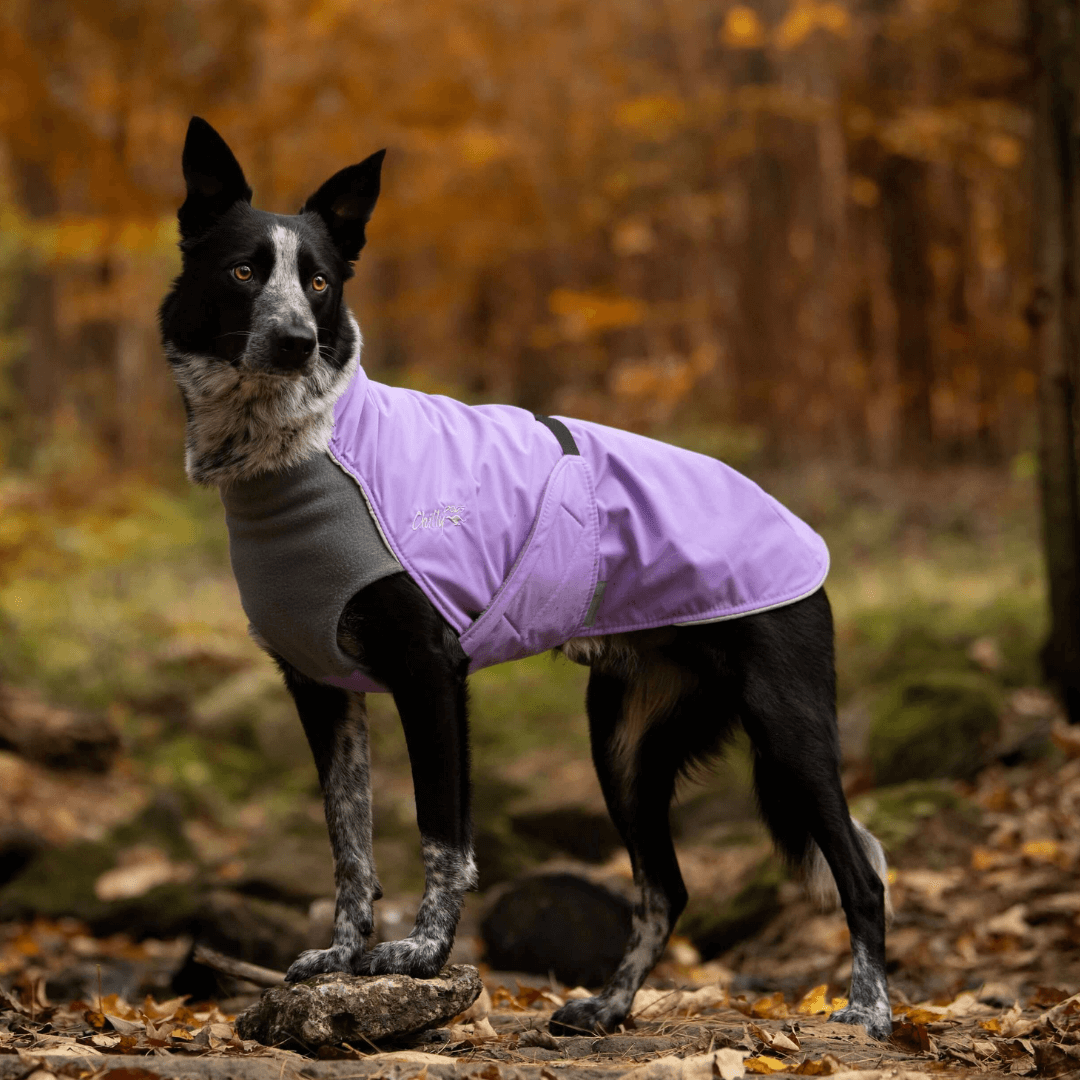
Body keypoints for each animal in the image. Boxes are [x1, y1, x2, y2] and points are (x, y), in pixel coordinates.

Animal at [156, 116, 889, 1036]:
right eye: (244, 271)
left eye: (318, 282)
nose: (295, 342)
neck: (306, 448)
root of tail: (794, 526)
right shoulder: (321, 691)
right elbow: (349, 843)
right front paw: (342, 953)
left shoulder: (431, 675)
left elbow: (444, 838)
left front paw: (421, 956)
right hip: (623, 749)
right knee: (666, 889)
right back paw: (609, 1006)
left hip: (787, 730)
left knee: (861, 873)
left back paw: (869, 1008)